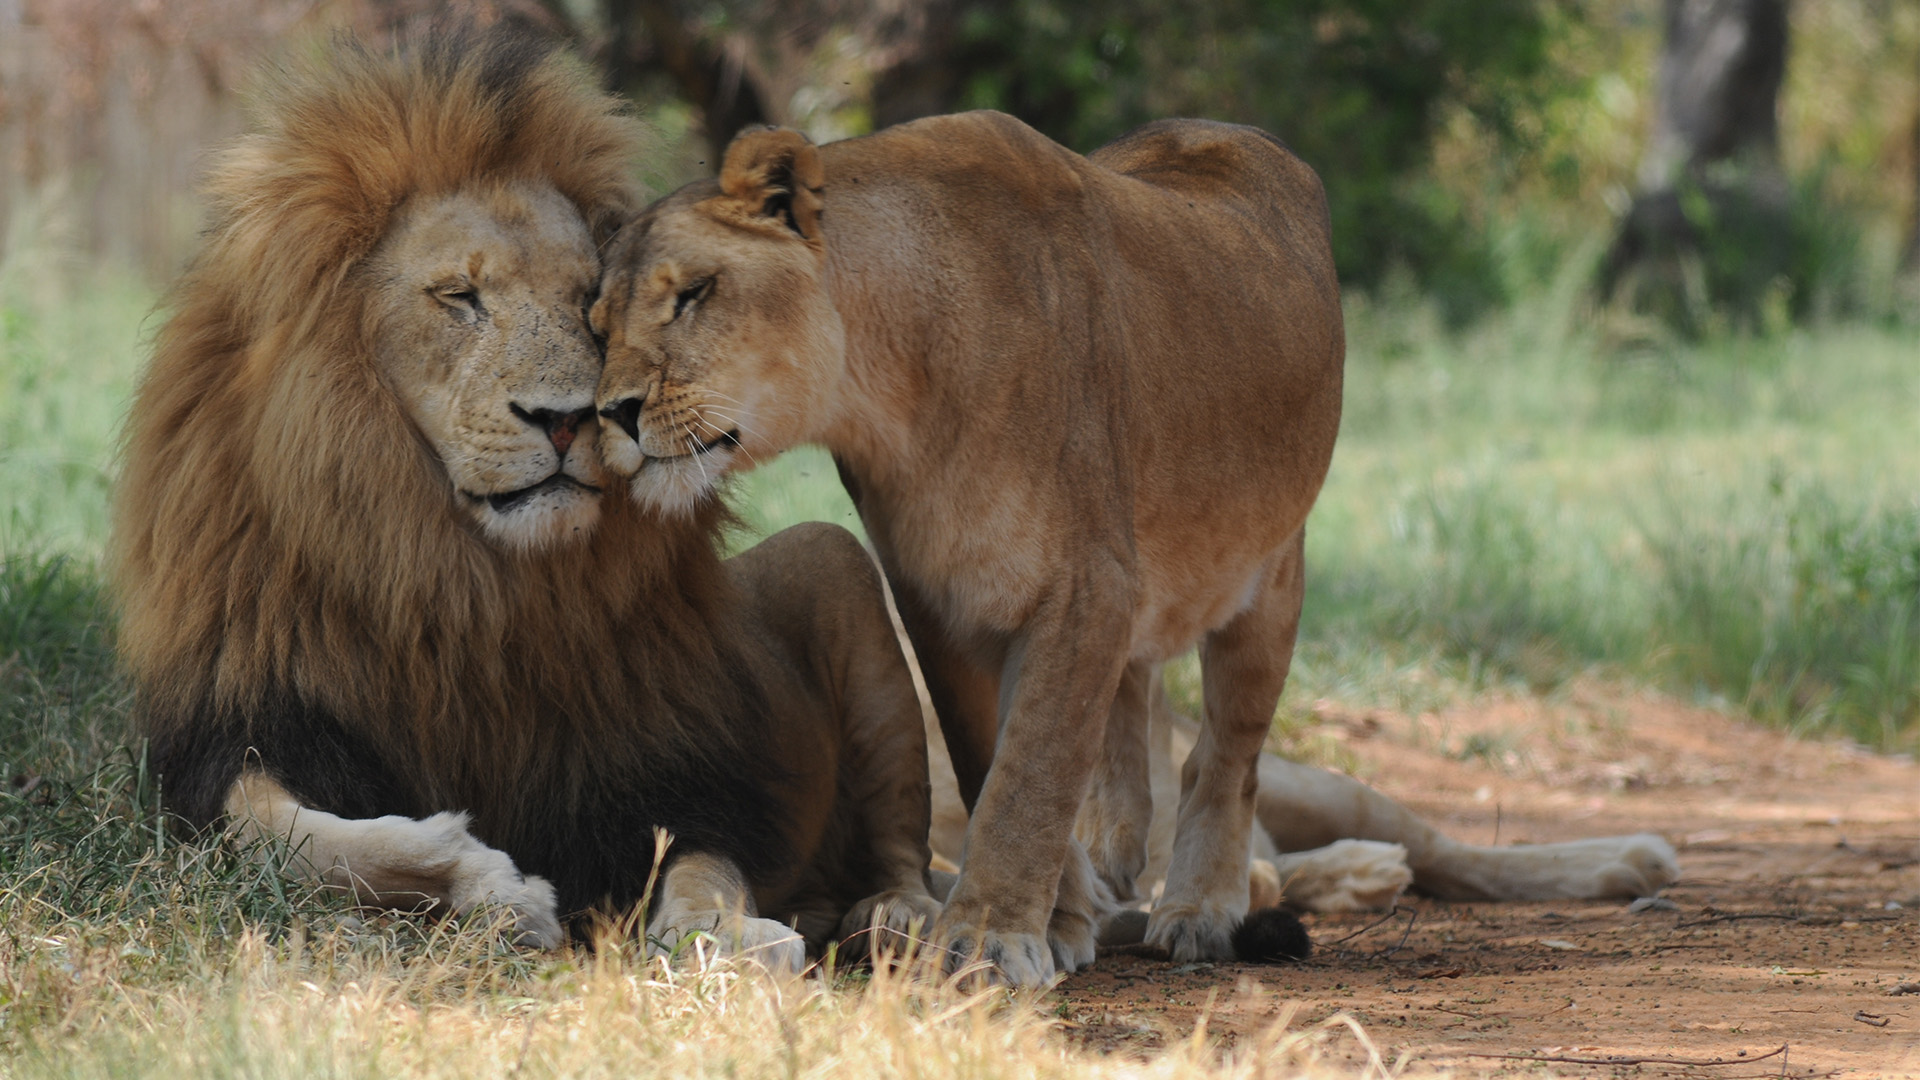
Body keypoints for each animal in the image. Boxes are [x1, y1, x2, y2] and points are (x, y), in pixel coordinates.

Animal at [110, 29, 936, 960]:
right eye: (460, 298)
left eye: (589, 302)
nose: (570, 420)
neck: (467, 579)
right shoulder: (243, 734)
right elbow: (289, 836)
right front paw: (485, 883)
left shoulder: (673, 766)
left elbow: (701, 865)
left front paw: (719, 937)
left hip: (839, 567)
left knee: (907, 842)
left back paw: (894, 916)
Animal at [595, 117, 1681, 983]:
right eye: (598, 323)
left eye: (693, 294)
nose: (610, 413)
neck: (887, 379)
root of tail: (1233, 132)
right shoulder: (941, 598)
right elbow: (1001, 763)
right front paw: (1057, 921)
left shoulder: (1086, 584)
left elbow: (1032, 775)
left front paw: (988, 941)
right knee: (1140, 714)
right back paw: (1129, 852)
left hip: (1271, 577)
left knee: (1245, 767)